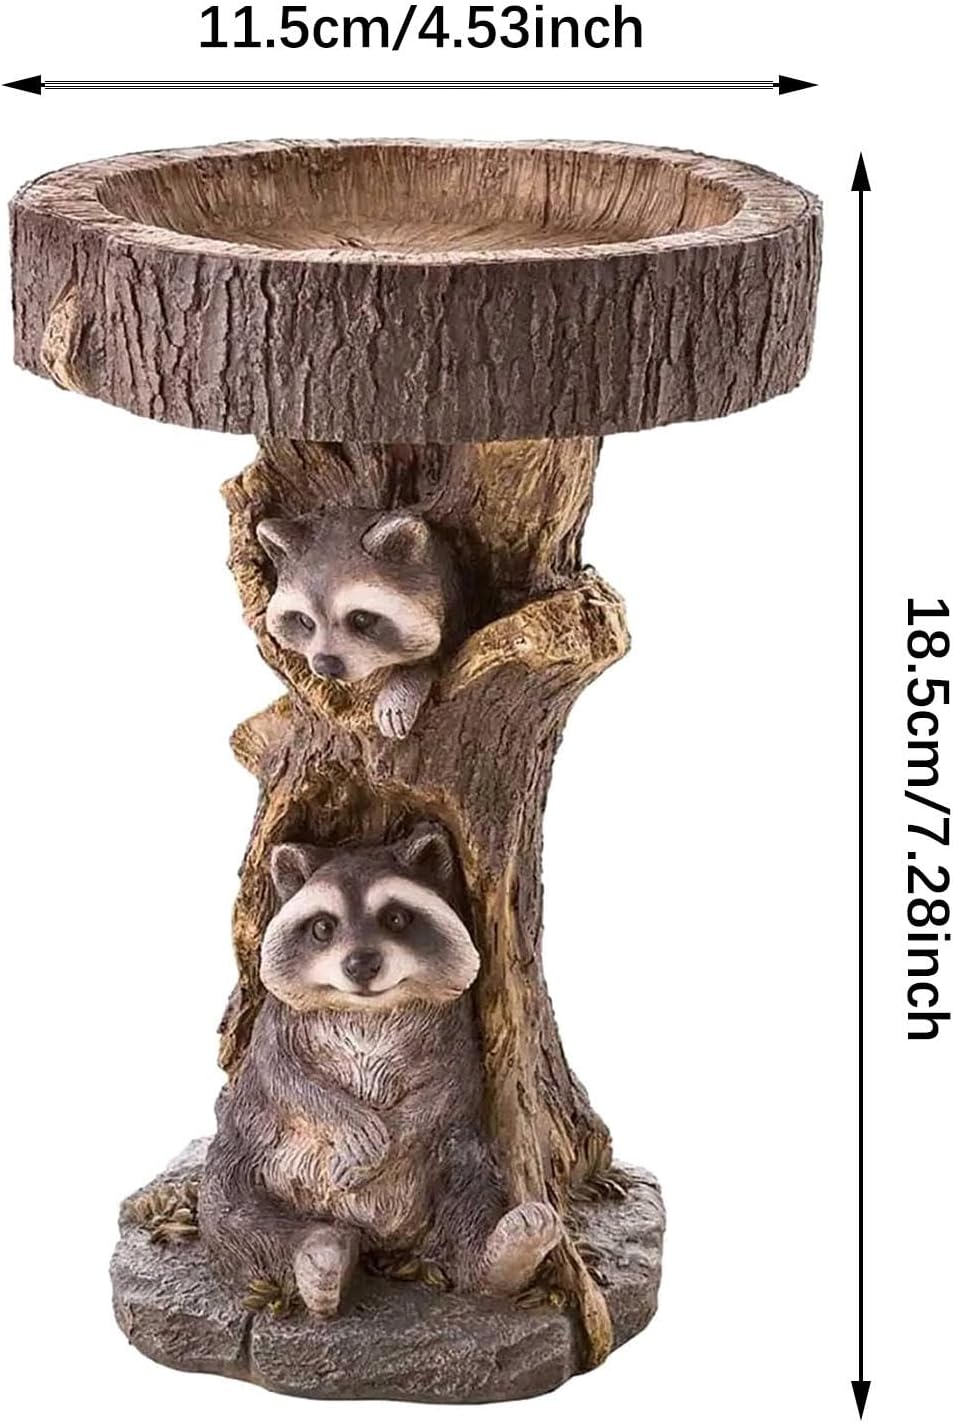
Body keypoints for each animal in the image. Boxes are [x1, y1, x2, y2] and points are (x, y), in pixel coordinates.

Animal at [199, 823, 563, 1318]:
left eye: (396, 919)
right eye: (322, 927)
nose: (361, 964)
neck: (367, 1008)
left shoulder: (455, 1024)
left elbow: (449, 1087)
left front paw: (393, 1135)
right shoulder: (275, 1022)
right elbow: (284, 1078)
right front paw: (350, 1123)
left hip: (456, 1157)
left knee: (469, 1193)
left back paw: (503, 1253)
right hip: (247, 1153)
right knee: (230, 1211)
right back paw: (319, 1254)